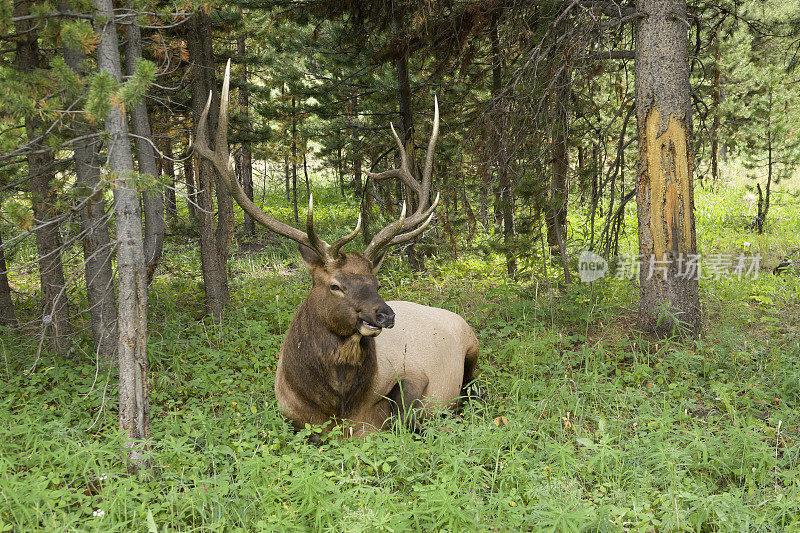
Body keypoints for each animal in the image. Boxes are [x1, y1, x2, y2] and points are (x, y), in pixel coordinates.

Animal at [196, 61, 478, 436]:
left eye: (377, 283)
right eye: (335, 285)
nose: (385, 314)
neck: (334, 404)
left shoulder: (414, 376)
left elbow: (404, 414)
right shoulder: (286, 411)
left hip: (472, 346)